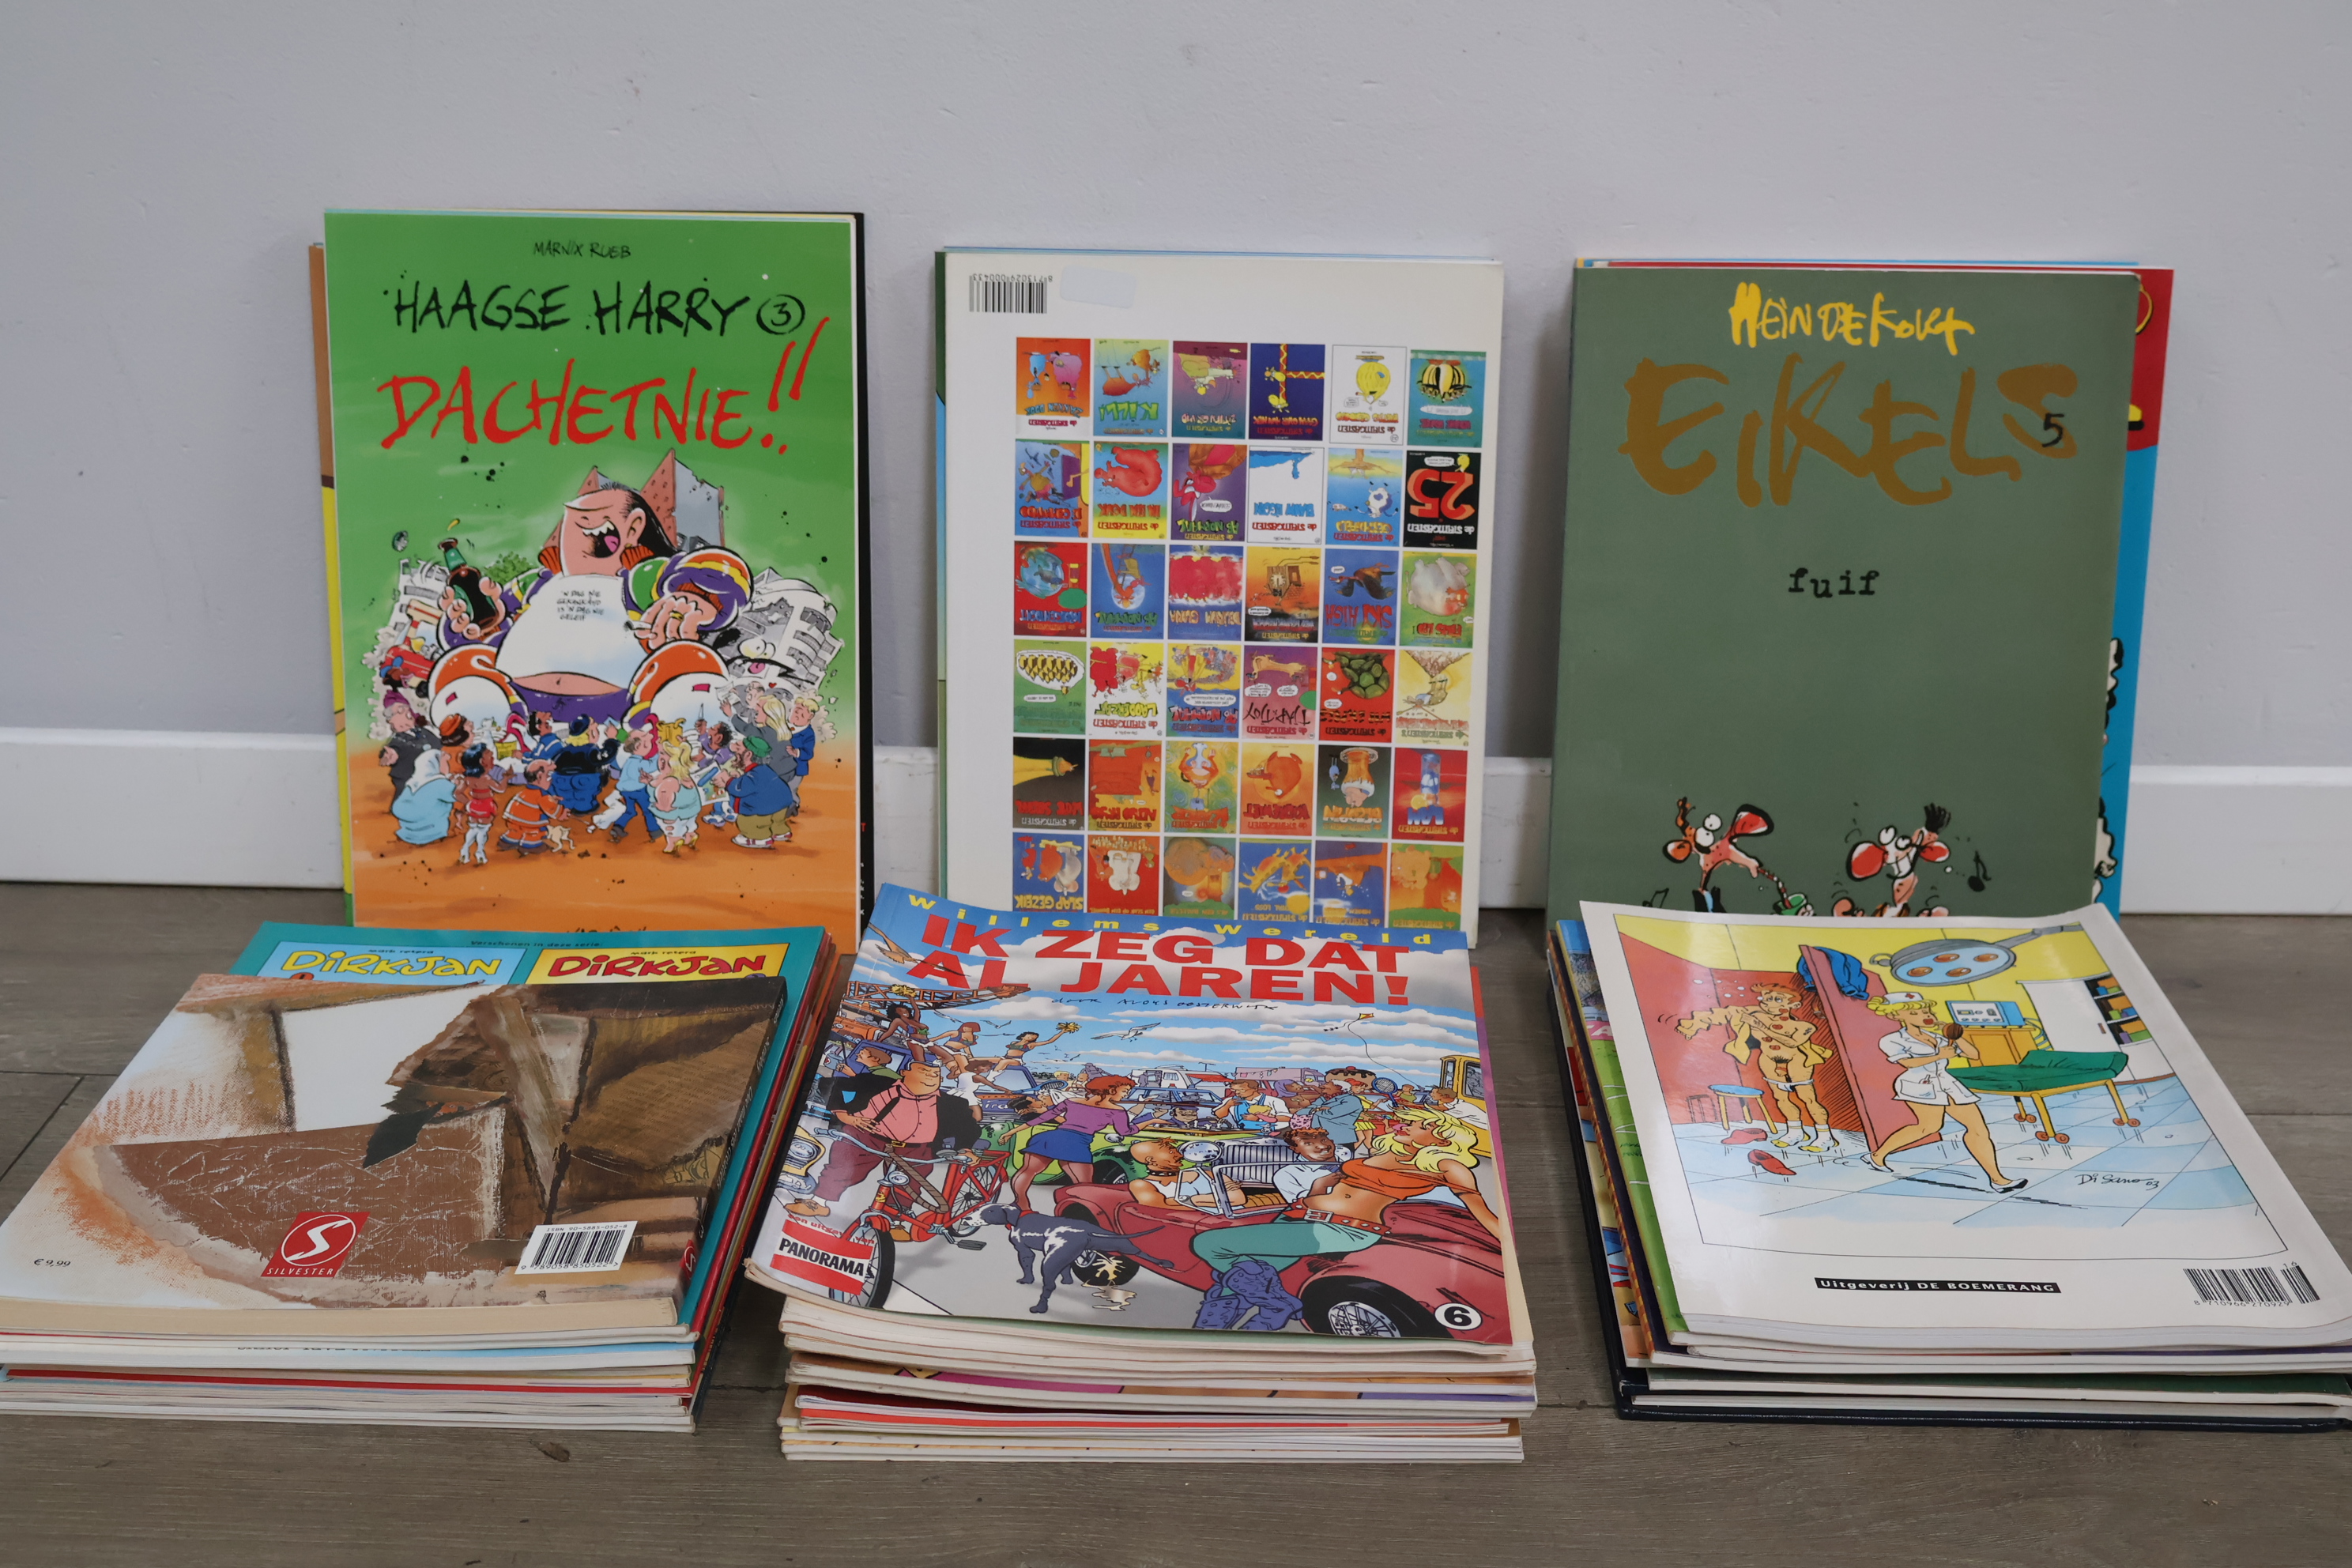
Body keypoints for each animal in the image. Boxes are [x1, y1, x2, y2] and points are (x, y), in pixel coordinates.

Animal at [976, 1205, 1175, 1313]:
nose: (970, 1218)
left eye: (990, 1210)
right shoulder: (1066, 1257)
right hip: (1118, 1243)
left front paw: (1026, 1280)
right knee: (1140, 1252)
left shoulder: (1024, 1251)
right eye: (979, 1209)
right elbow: (1067, 1270)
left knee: (1048, 1286)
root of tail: (1085, 1231)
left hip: (1049, 1264)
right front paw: (1068, 1281)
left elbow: (1027, 1266)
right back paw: (1165, 1262)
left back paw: (1039, 1308)